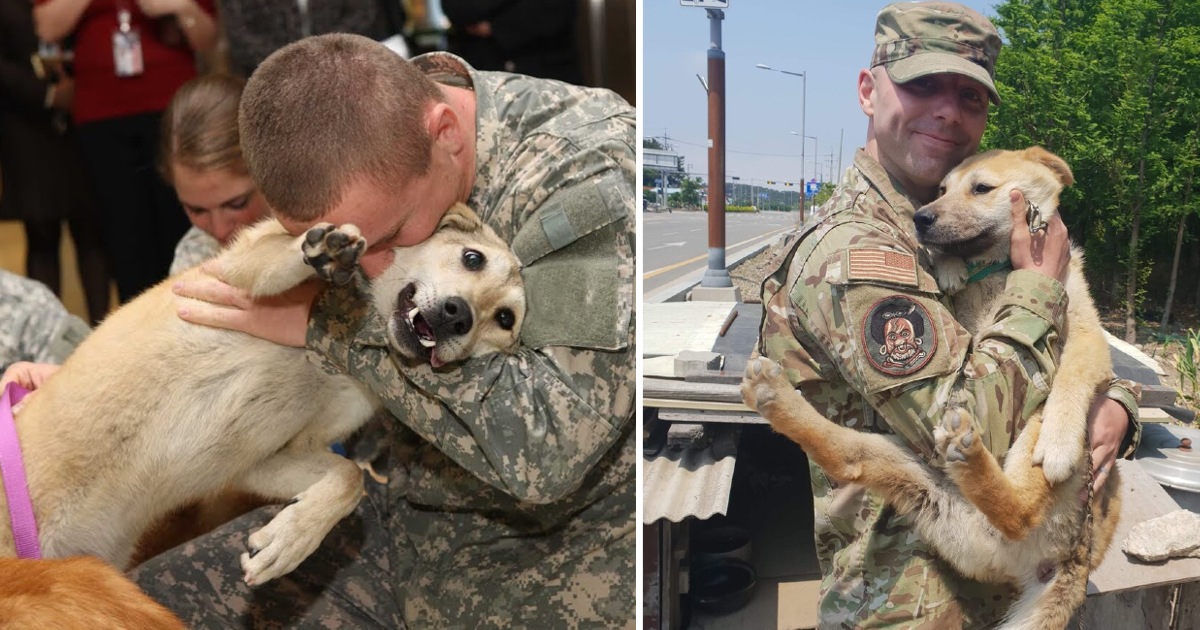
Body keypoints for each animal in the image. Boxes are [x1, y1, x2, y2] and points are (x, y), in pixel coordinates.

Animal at [1, 201, 525, 585]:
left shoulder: (265, 460)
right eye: (472, 258)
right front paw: (322, 252)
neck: (328, 356)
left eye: (506, 319)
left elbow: (348, 480)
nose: (458, 317)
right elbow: (277, 258)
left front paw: (288, 542)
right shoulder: (234, 271)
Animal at [744, 148, 1118, 628]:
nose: (921, 218)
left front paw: (1058, 445)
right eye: (940, 189)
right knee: (849, 459)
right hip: (912, 477)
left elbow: (1069, 384)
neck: (997, 272)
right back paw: (773, 395)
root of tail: (1071, 561)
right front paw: (948, 266)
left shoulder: (1088, 340)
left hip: (1027, 432)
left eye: (981, 188)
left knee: (1020, 511)